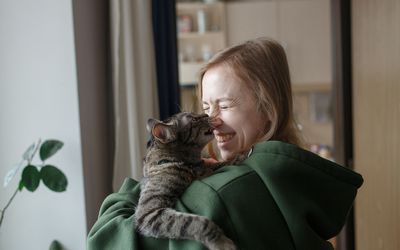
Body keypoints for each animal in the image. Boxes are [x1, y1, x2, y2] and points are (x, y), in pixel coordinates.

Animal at [136, 112, 236, 250]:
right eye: (194, 119)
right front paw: (221, 242)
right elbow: (197, 222)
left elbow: (221, 164)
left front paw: (242, 155)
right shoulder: (148, 212)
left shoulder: (206, 167)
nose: (206, 114)